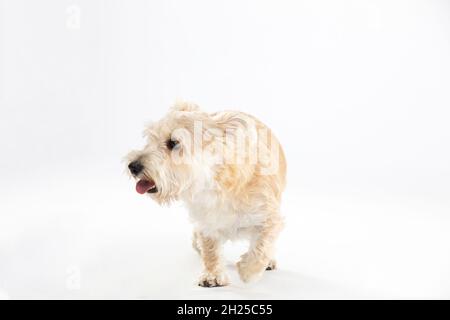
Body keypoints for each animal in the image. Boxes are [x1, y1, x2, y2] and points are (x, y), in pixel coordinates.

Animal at [125, 102, 286, 288]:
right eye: (150, 139)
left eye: (173, 143)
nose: (133, 166)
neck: (213, 184)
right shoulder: (205, 221)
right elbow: (210, 249)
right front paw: (212, 275)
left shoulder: (269, 217)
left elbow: (262, 246)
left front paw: (248, 272)